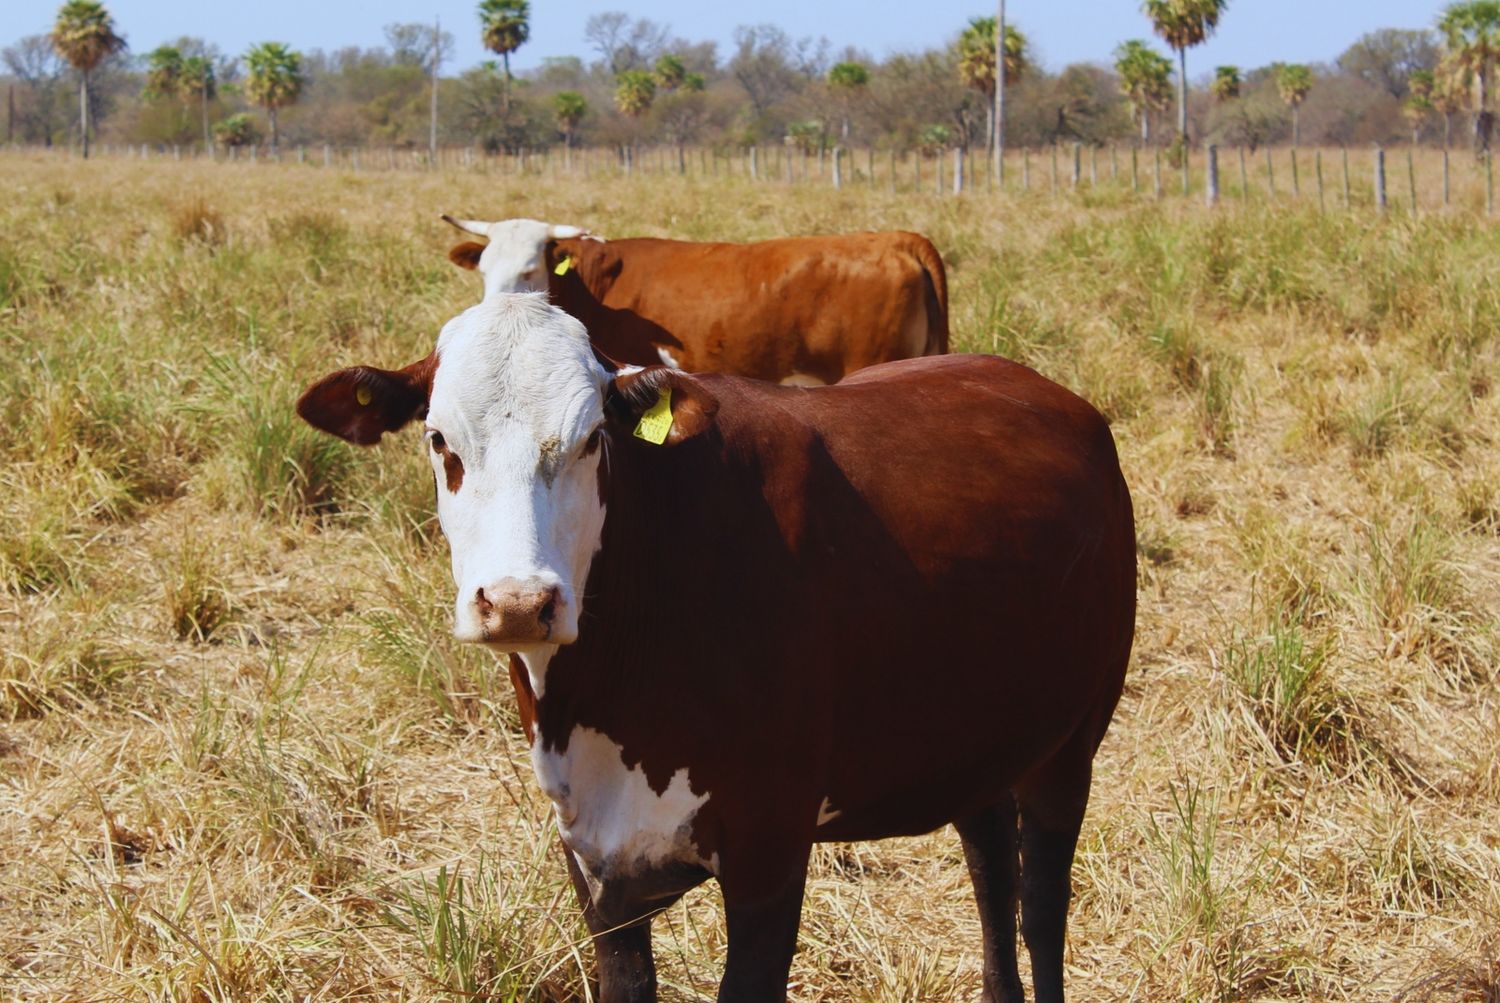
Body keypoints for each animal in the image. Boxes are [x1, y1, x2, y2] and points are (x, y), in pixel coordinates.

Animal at [295, 290, 1134, 1001]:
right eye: (440, 439)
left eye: (592, 438)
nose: (518, 602)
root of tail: (1046, 392)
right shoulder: (597, 861)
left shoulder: (769, 852)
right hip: (973, 737)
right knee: (992, 864)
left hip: (1073, 742)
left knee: (1042, 903)